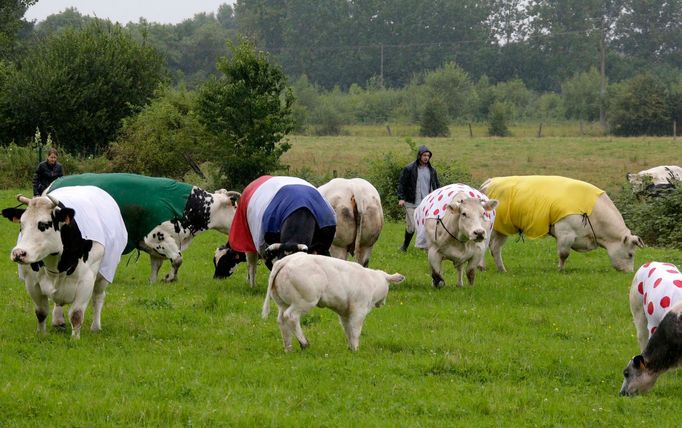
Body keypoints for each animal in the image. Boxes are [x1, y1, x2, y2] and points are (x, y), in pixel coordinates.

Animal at [1, 186, 126, 338]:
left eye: (43, 224)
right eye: (21, 224)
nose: (18, 253)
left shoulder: (86, 281)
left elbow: (76, 314)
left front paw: (75, 339)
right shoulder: (31, 282)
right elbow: (41, 312)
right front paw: (41, 334)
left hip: (104, 274)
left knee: (98, 297)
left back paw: (95, 327)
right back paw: (58, 321)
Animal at [47, 172, 239, 282]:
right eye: (236, 206)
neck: (189, 204)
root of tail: (52, 186)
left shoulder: (156, 247)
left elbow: (156, 268)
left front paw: (154, 283)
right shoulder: (159, 236)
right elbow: (178, 259)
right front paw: (170, 277)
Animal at [258, 252, 398, 352]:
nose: (383, 303)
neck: (371, 281)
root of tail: (286, 261)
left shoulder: (345, 313)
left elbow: (348, 330)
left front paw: (351, 348)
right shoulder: (359, 310)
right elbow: (355, 330)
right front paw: (356, 349)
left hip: (283, 303)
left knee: (282, 320)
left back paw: (288, 348)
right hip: (304, 301)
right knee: (291, 317)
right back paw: (304, 343)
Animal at [476, 176, 640, 272]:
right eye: (631, 254)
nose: (630, 273)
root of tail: (490, 182)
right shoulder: (565, 232)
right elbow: (564, 253)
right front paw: (560, 270)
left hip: (502, 229)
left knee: (494, 248)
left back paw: (500, 269)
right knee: (488, 245)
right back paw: (483, 267)